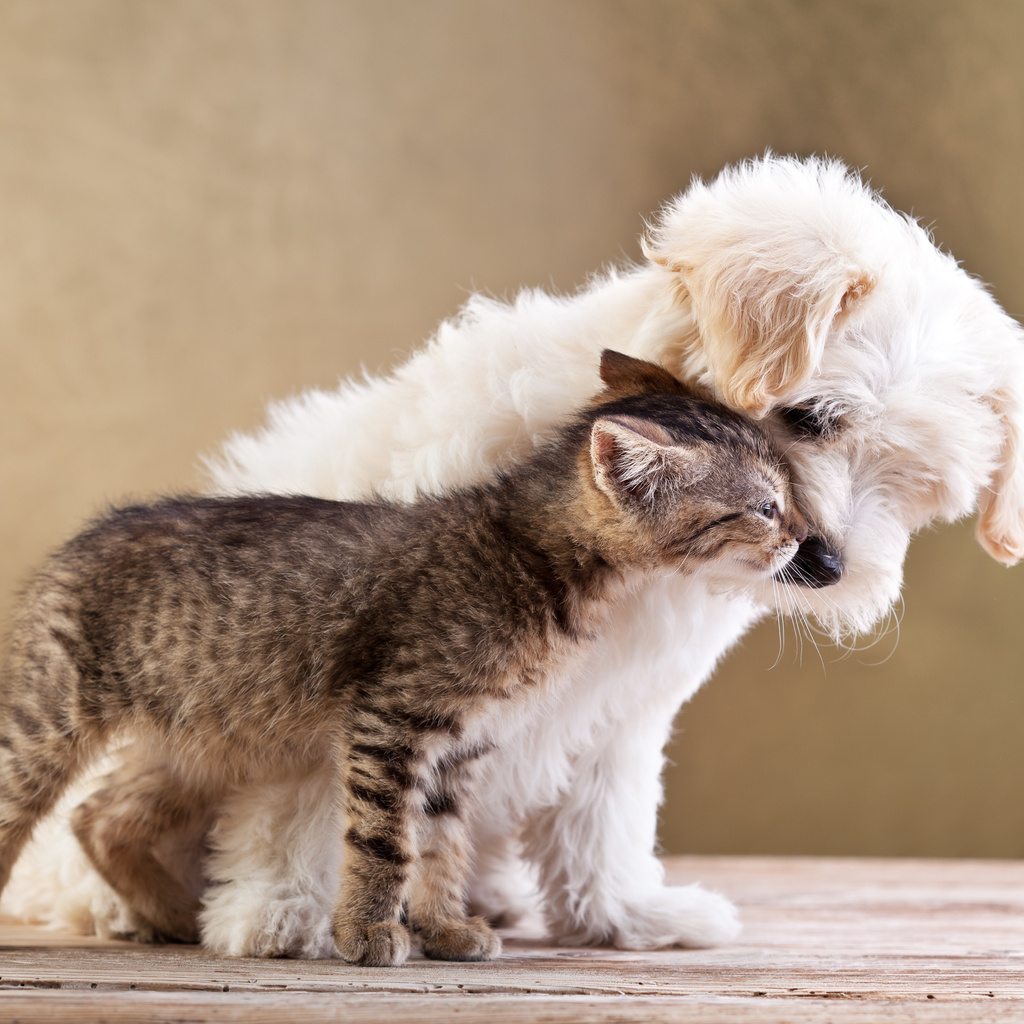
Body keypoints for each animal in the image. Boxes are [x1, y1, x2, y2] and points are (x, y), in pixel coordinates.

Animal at [0, 348, 798, 962]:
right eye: (764, 508)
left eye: (786, 496)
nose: (802, 540)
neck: (533, 555)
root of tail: (81, 538)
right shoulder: (392, 720)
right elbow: (387, 842)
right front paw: (367, 933)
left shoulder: (461, 745)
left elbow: (442, 846)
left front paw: (445, 927)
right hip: (48, 721)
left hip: (205, 739)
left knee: (99, 816)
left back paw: (172, 915)